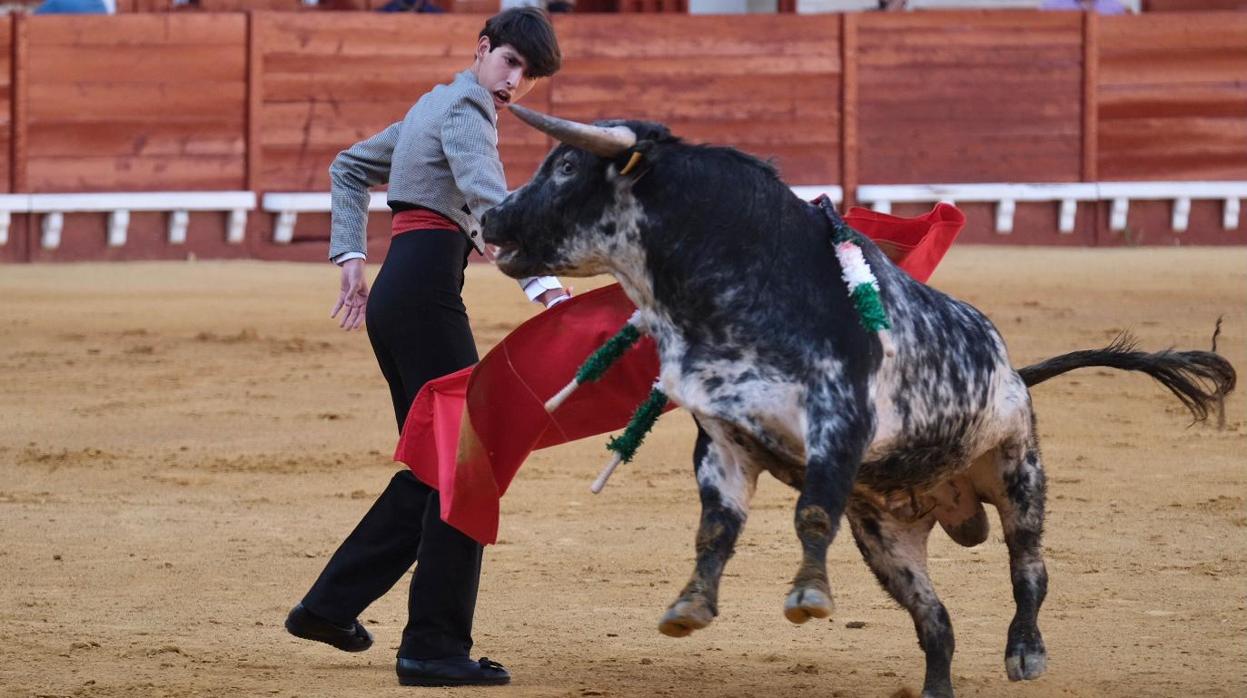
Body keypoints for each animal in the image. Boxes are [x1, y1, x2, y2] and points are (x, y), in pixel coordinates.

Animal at [481, 104, 1232, 698]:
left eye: (565, 167)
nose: (490, 215)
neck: (733, 285)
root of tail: (1014, 373)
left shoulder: (838, 420)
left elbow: (812, 512)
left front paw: (809, 596)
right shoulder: (723, 439)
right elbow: (715, 529)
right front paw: (690, 606)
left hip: (1018, 472)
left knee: (1029, 570)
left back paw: (1026, 652)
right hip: (887, 540)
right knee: (935, 623)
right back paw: (936, 689)